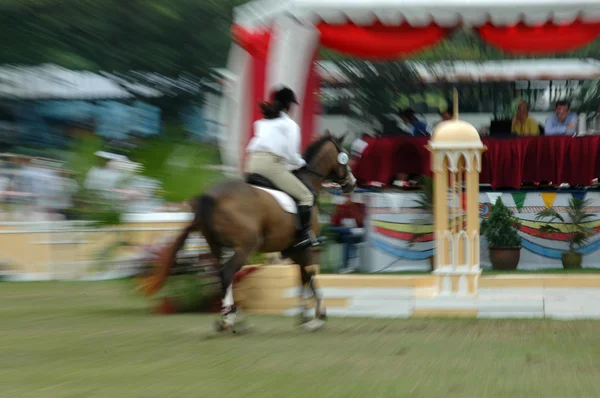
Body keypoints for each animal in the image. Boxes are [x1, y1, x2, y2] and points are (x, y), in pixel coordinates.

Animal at [137, 132, 356, 332]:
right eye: (345, 156)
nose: (352, 184)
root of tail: (210, 196)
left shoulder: (294, 249)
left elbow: (302, 276)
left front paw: (305, 318)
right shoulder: (305, 247)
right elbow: (310, 274)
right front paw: (319, 317)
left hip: (216, 246)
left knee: (220, 275)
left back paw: (232, 317)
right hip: (246, 246)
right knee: (227, 273)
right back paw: (229, 319)